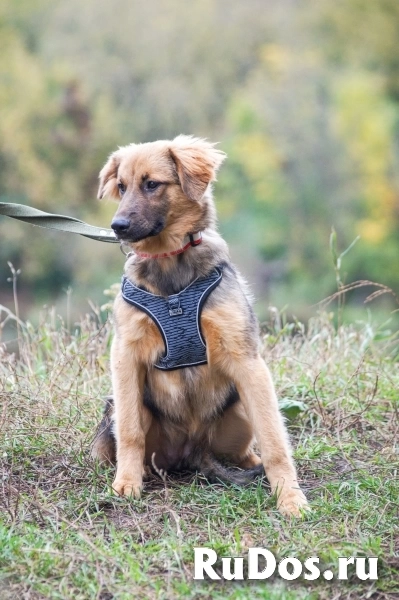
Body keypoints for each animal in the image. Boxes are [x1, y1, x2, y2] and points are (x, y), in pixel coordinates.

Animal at [91, 136, 310, 516]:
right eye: (121, 186)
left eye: (152, 184)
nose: (117, 227)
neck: (169, 264)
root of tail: (191, 451)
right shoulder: (126, 355)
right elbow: (131, 432)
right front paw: (127, 484)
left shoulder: (248, 360)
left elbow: (274, 439)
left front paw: (290, 498)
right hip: (114, 413)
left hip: (239, 408)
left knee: (247, 449)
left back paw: (252, 464)